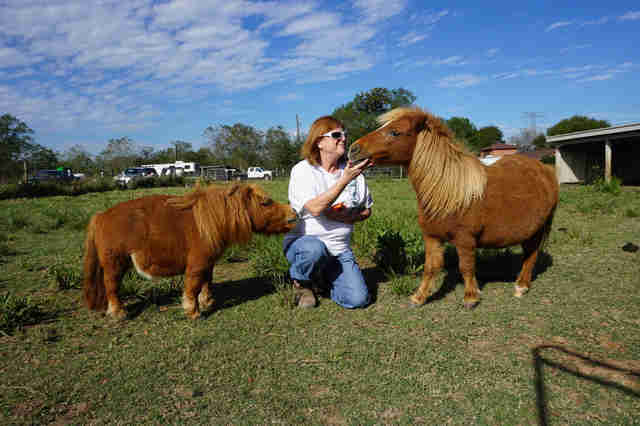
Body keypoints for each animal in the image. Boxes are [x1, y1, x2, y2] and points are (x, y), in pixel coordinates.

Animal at [83, 183, 298, 320]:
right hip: (115, 264)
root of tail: (100, 216)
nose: (293, 213)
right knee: (111, 286)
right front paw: (193, 311)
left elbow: (207, 281)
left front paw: (207, 301)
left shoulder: (208, 263)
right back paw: (119, 313)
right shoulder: (197, 264)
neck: (212, 219)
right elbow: (193, 285)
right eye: (266, 202)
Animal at [349, 106, 559, 308]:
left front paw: (470, 298)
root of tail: (545, 169)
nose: (353, 149)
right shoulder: (432, 237)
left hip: (537, 230)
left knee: (531, 254)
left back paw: (521, 286)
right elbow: (431, 267)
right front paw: (419, 297)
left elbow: (466, 267)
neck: (448, 193)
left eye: (395, 132)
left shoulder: (465, 240)